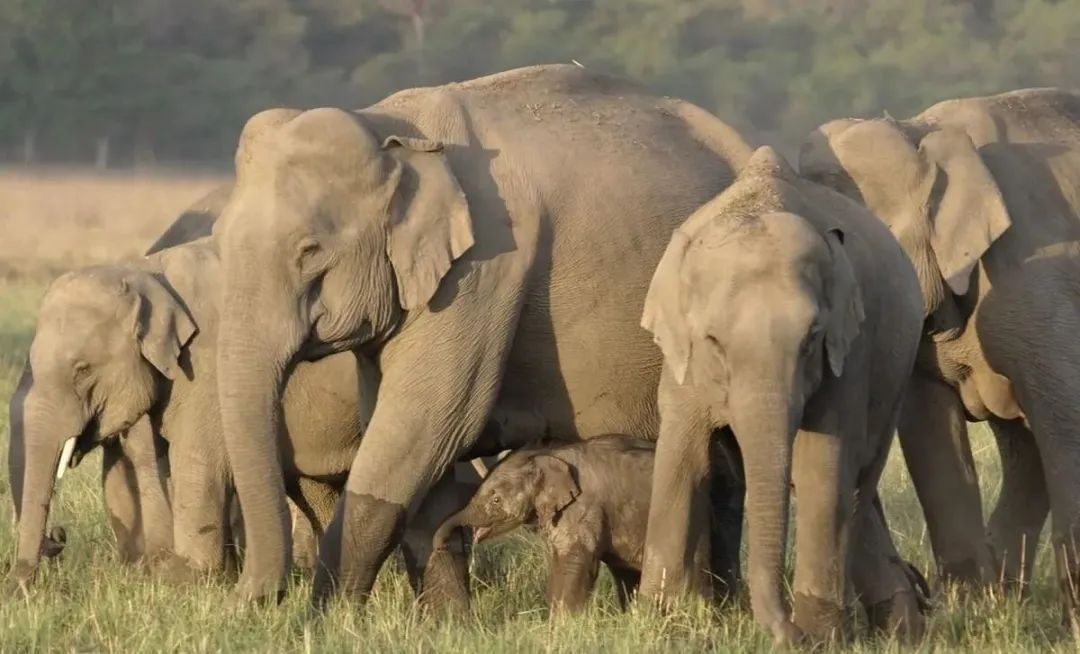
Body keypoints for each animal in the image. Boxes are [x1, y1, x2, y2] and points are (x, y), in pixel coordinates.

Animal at [432, 436, 652, 612]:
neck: (549, 455)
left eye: (495, 500)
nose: (440, 546)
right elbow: (557, 564)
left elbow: (574, 562)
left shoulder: (584, 509)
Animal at [635, 145, 924, 643]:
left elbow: (820, 464)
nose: (786, 632)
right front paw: (658, 622)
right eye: (714, 341)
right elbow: (683, 459)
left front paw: (822, 637)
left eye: (811, 340)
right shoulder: (681, 361)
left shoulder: (850, 353)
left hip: (897, 370)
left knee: (860, 477)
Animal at [799, 89, 1080, 612]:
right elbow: (930, 428)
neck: (923, 132)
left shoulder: (1038, 276)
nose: (918, 587)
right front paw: (973, 609)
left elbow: (1066, 415)